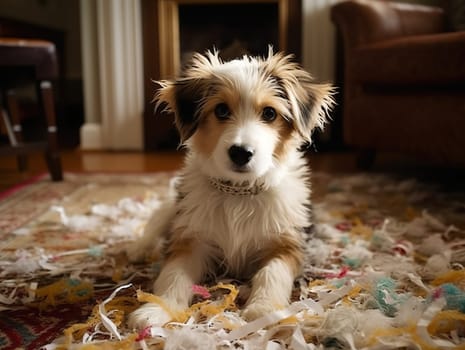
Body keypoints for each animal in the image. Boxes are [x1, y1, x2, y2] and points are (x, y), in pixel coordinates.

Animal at [128, 47, 334, 330]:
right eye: (222, 110)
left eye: (270, 113)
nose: (240, 153)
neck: (239, 192)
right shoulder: (192, 240)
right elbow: (173, 275)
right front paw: (157, 309)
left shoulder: (287, 245)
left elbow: (272, 273)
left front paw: (264, 309)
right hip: (176, 207)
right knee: (155, 224)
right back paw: (139, 248)